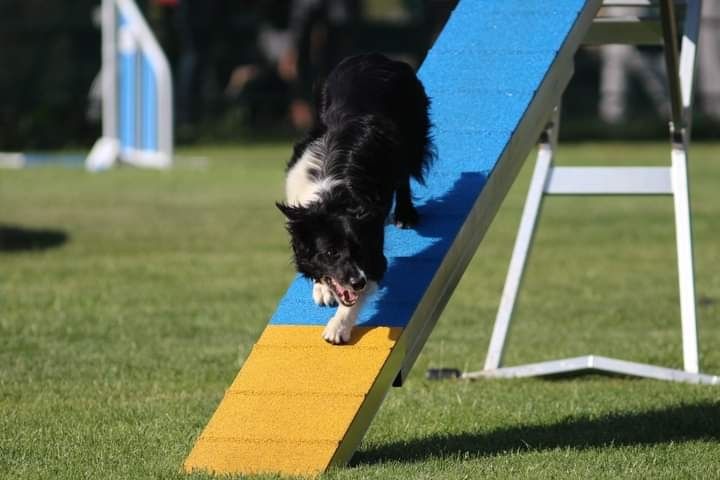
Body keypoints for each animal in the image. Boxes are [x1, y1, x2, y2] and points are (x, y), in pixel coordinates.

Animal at [276, 52, 434, 344]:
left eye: (359, 249)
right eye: (331, 252)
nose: (357, 282)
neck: (330, 197)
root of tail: (375, 57)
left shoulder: (373, 252)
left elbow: (360, 292)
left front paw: (338, 326)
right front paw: (322, 288)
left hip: (410, 132)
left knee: (404, 173)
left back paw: (405, 215)